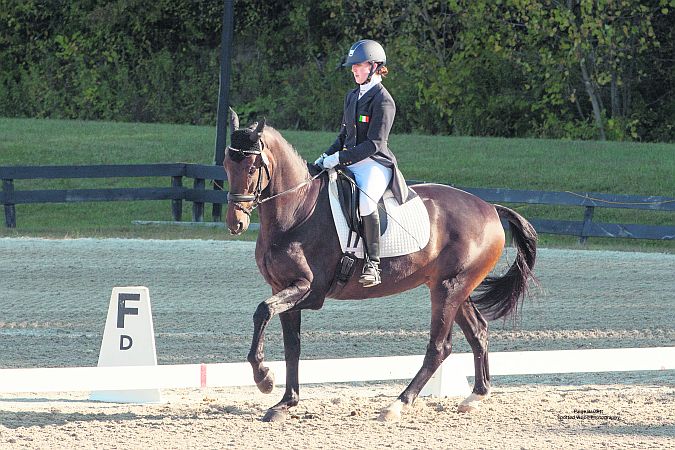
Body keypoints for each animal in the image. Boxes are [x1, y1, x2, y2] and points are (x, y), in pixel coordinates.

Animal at [224, 111, 536, 422]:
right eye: (227, 165)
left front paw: (264, 378)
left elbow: (263, 311)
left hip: (450, 289)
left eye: (252, 168)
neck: (297, 211)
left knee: (439, 347)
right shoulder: (282, 287)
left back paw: (398, 404)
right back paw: (475, 397)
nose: (236, 223)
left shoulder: (309, 291)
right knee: (478, 332)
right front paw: (285, 402)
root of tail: (490, 208)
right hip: (453, 287)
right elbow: (292, 347)